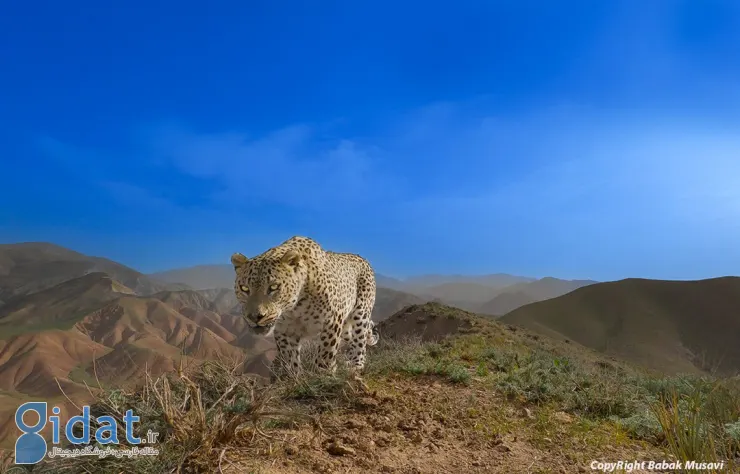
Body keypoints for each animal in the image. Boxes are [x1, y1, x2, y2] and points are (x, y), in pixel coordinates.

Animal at [231, 235, 378, 376]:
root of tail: (361, 258)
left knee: (360, 339)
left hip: (360, 312)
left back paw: (356, 365)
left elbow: (326, 352)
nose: (255, 317)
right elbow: (290, 358)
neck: (294, 308)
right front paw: (295, 378)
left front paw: (323, 375)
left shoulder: (332, 321)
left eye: (273, 287)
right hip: (345, 326)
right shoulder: (283, 331)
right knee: (353, 338)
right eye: (244, 288)